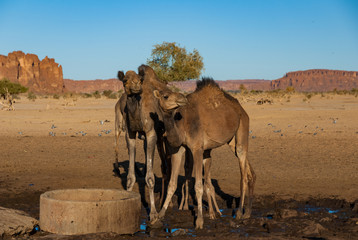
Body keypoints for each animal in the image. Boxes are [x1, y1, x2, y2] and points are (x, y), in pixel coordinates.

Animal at [152, 78, 256, 229]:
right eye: (165, 96)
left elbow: (198, 186)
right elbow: (172, 184)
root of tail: (241, 110)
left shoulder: (197, 148)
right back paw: (247, 212)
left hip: (242, 128)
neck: (181, 124)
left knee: (243, 174)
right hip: (231, 141)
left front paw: (200, 220)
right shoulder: (178, 150)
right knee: (248, 171)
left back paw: (239, 213)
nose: (182, 98)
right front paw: (159, 216)